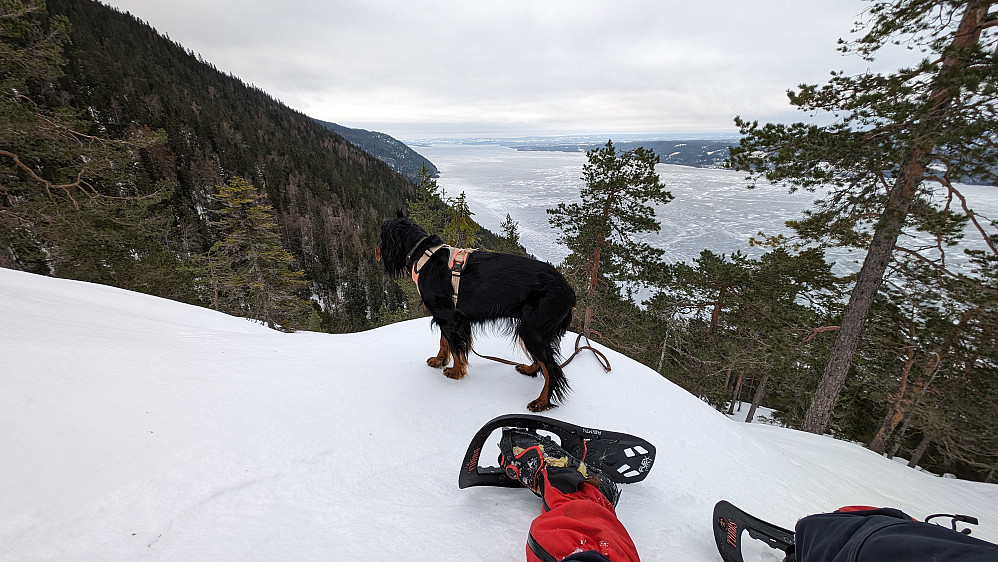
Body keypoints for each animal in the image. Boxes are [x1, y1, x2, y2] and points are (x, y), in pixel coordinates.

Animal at [376, 212, 580, 410]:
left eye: (382, 234)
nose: (377, 251)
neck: (424, 253)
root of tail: (569, 291)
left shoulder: (448, 316)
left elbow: (455, 347)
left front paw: (456, 371)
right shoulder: (447, 315)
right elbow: (444, 341)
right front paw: (439, 360)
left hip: (532, 330)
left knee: (552, 369)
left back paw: (541, 402)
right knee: (543, 363)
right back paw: (529, 369)